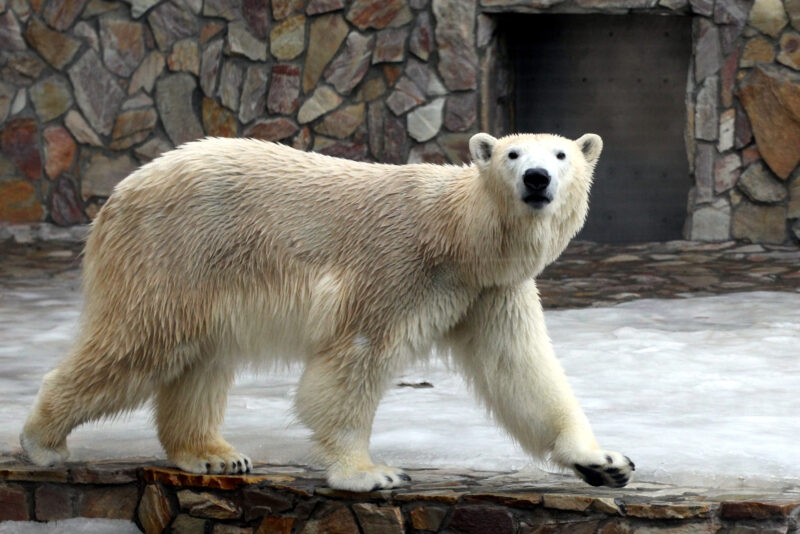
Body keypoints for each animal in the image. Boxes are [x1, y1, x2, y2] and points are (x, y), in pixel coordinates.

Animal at [18, 132, 636, 492]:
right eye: (513, 154)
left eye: (560, 154)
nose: (537, 179)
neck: (459, 238)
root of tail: (119, 193)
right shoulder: (396, 270)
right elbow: (352, 362)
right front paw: (370, 473)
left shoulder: (489, 291)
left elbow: (521, 371)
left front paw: (603, 461)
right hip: (173, 253)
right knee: (139, 344)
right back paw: (42, 440)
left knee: (200, 361)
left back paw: (214, 456)